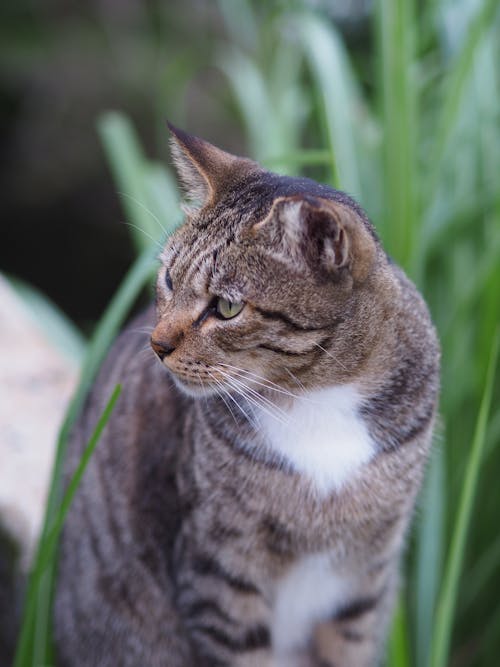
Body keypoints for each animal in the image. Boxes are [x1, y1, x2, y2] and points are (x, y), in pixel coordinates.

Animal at [52, 125, 440, 667]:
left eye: (227, 307)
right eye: (168, 278)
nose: (158, 345)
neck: (318, 400)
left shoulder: (364, 579)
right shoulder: (221, 575)